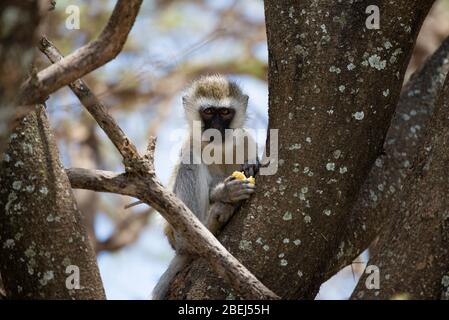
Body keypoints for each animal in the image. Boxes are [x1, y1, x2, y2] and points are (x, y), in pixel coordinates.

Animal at [151, 75, 260, 300]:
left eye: (225, 112)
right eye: (209, 111)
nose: (216, 128)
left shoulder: (247, 140)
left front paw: (251, 165)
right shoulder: (190, 144)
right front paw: (226, 192)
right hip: (176, 233)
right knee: (190, 164)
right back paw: (208, 227)